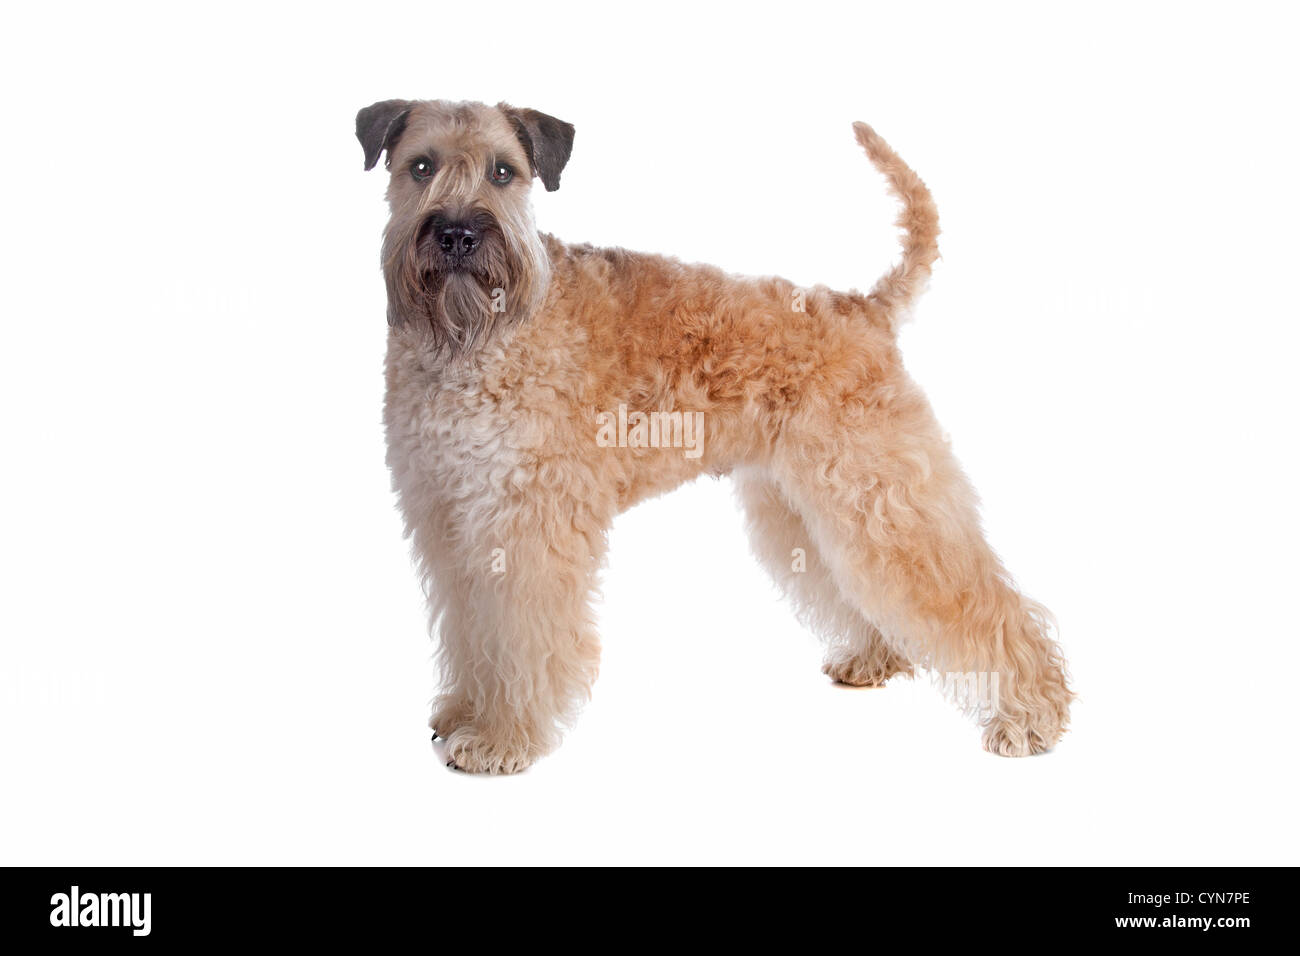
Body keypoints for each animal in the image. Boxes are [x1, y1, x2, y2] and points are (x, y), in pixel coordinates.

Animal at [351, 97, 1071, 775]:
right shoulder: (447, 516)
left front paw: (502, 739)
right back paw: (873, 660)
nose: (457, 234)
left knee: (984, 602)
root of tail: (866, 308)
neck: (474, 343)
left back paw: (1033, 718)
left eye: (503, 171)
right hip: (812, 508)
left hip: (884, 500)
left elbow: (517, 637)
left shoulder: (526, 524)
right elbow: (471, 633)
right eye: (421, 165)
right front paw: (463, 713)